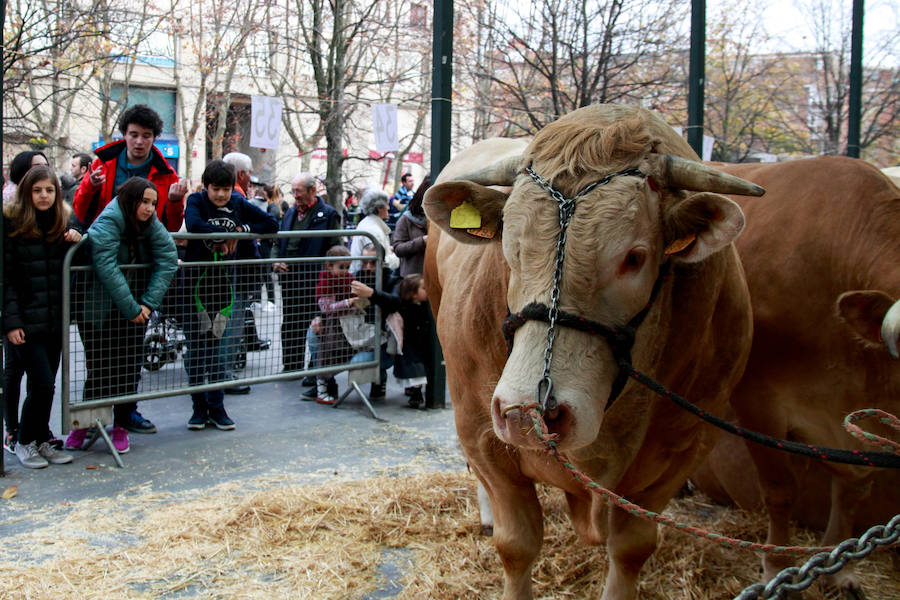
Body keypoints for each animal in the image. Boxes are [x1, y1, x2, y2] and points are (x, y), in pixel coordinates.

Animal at [426, 105, 764, 596]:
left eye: (635, 257)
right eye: (510, 248)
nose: (529, 410)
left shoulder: (682, 451)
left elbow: (631, 548)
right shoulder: (479, 429)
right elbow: (517, 543)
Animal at [692, 157, 896, 596]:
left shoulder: (866, 418)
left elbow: (854, 488)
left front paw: (838, 566)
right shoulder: (758, 399)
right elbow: (780, 489)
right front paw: (775, 567)